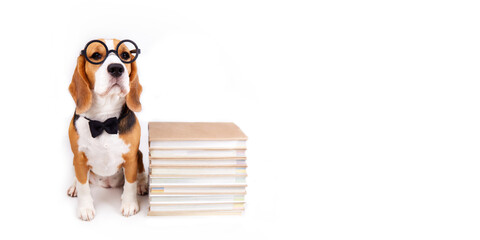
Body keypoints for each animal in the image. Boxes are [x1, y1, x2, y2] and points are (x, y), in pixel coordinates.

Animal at [66, 38, 147, 220]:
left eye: (125, 55)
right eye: (96, 55)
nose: (116, 68)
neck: (104, 120)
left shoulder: (131, 158)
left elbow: (130, 184)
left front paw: (129, 204)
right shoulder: (79, 158)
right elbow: (83, 186)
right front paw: (85, 208)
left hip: (138, 154)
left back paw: (142, 184)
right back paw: (73, 186)